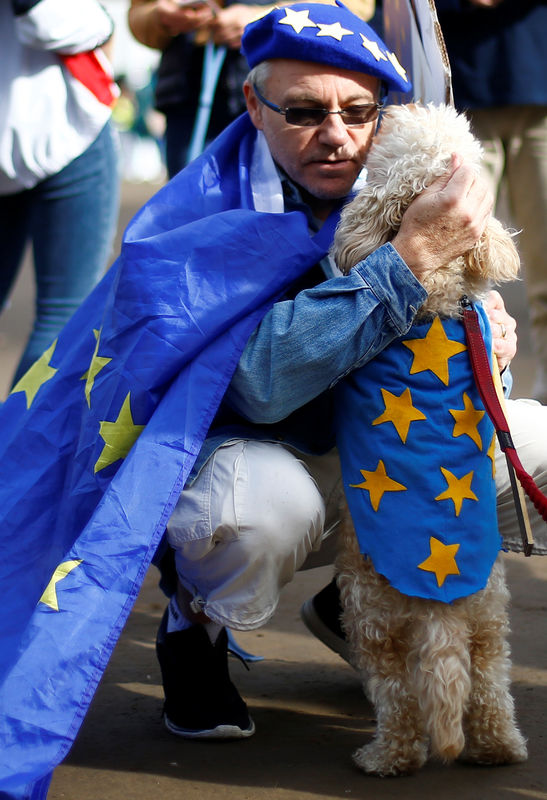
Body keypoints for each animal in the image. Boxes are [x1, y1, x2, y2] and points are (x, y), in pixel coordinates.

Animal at [332, 103, 528, 780]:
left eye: (391, 142)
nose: (396, 104)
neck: (436, 298)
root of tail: (440, 594)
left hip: (369, 614)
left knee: (397, 698)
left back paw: (384, 756)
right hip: (491, 614)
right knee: (490, 685)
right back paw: (499, 748)